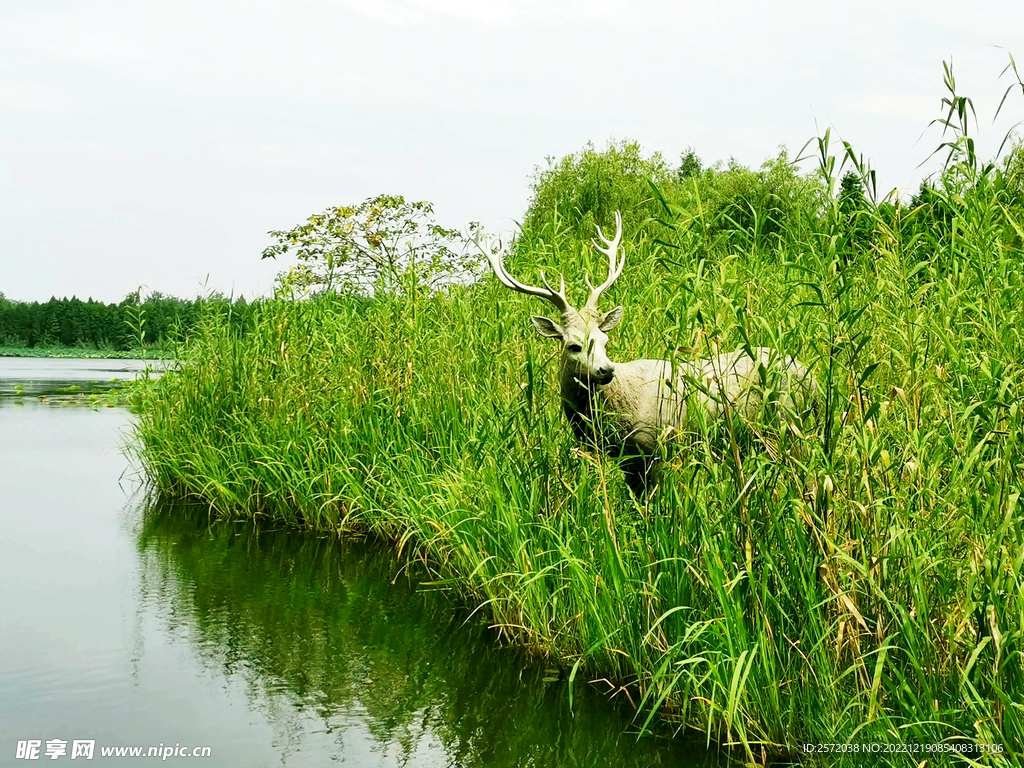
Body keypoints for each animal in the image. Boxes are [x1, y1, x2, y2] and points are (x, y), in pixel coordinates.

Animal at [475, 214, 819, 495]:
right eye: (573, 345)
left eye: (604, 339)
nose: (606, 370)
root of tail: (811, 378)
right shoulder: (626, 459)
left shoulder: (657, 445)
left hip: (788, 424)